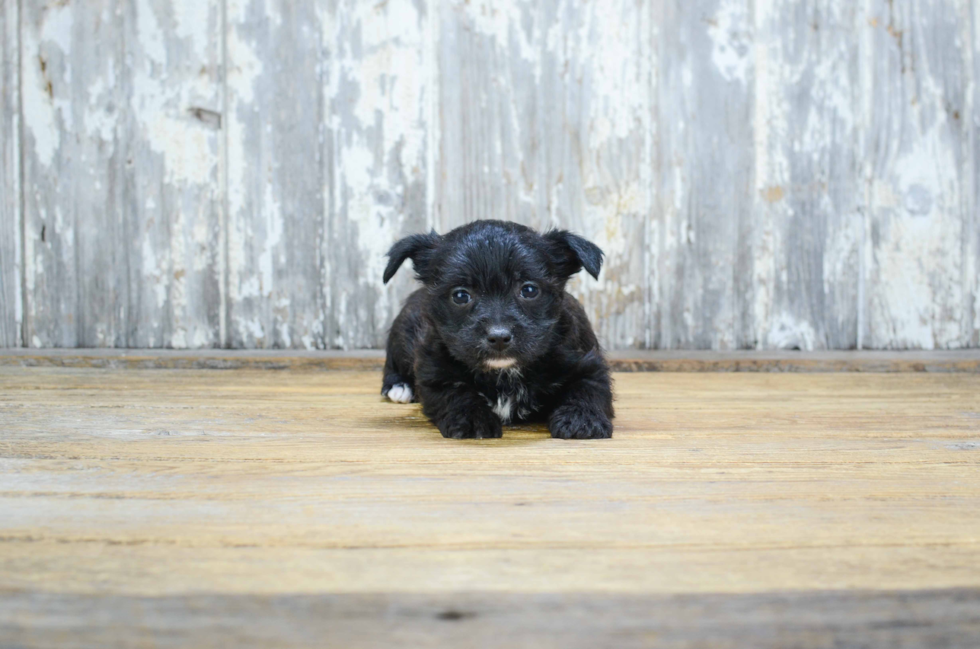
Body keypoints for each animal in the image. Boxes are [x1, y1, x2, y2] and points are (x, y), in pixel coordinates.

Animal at [380, 220, 612, 438]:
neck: (504, 373)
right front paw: (473, 419)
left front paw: (582, 419)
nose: (499, 337)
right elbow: (456, 393)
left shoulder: (587, 362)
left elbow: (586, 388)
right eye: (460, 295)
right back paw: (399, 386)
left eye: (529, 290)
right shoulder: (434, 370)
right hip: (402, 331)